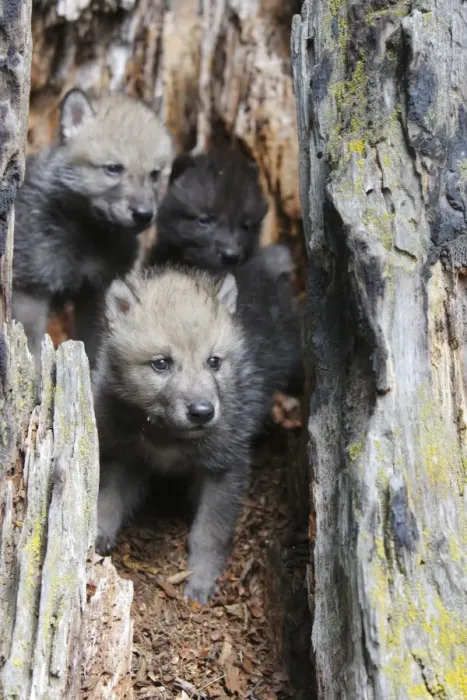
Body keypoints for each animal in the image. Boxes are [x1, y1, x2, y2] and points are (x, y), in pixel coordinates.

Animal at [12, 88, 173, 377]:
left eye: (155, 174)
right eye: (113, 168)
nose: (144, 214)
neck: (89, 236)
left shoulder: (97, 294)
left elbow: (94, 349)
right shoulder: (31, 289)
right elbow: (33, 352)